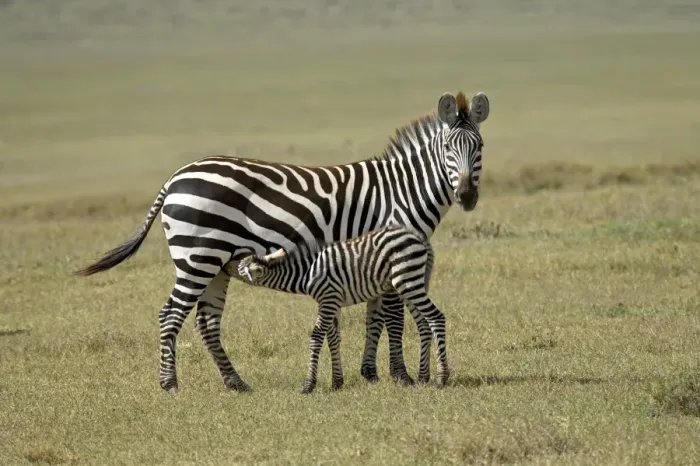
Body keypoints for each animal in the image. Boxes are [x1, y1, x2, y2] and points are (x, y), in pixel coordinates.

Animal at [230, 224, 446, 394]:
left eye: (239, 267)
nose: (227, 264)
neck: (307, 273)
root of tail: (417, 237)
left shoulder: (328, 299)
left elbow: (317, 337)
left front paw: (309, 385)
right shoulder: (331, 302)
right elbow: (333, 338)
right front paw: (337, 382)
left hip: (407, 281)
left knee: (436, 317)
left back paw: (442, 377)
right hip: (409, 283)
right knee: (424, 323)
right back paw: (423, 376)